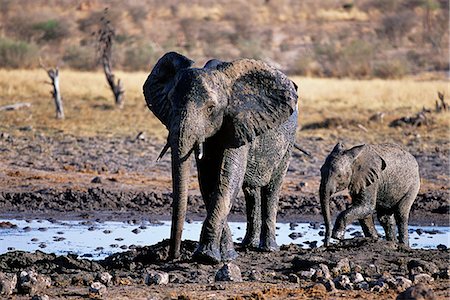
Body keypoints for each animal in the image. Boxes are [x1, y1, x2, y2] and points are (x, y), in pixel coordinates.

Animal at [144, 52, 298, 264]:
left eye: (211, 108)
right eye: (170, 102)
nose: (172, 257)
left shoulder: (238, 123)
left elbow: (228, 179)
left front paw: (206, 257)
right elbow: (208, 182)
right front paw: (226, 255)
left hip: (289, 142)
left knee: (272, 188)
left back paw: (268, 249)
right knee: (251, 191)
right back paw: (247, 245)